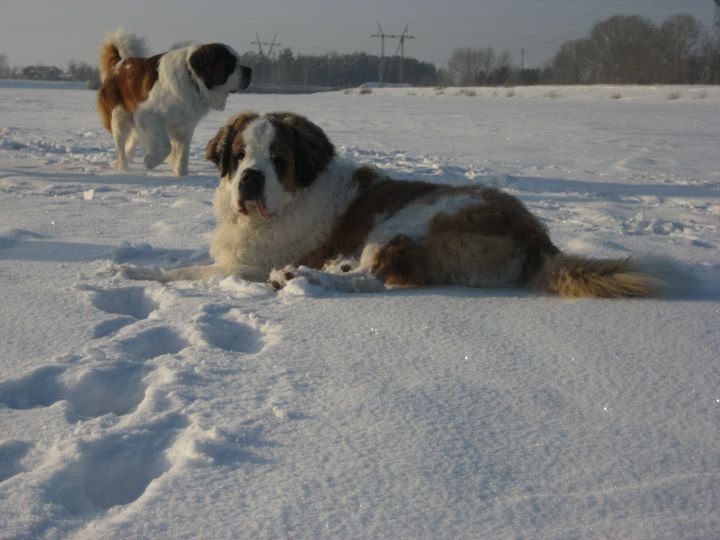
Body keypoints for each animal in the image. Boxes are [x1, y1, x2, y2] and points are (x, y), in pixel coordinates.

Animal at [95, 29, 253, 175]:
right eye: (231, 64)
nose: (249, 70)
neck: (193, 80)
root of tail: (119, 64)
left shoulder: (185, 127)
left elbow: (182, 154)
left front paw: (181, 175)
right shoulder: (149, 115)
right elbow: (166, 146)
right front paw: (150, 161)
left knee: (131, 141)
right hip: (119, 118)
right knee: (120, 147)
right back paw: (123, 169)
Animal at [122, 112, 660, 300]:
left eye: (279, 160)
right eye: (238, 157)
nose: (250, 180)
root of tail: (537, 238)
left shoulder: (247, 266)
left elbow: (190, 271)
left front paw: (137, 274)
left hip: (413, 218)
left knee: (378, 276)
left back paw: (305, 278)